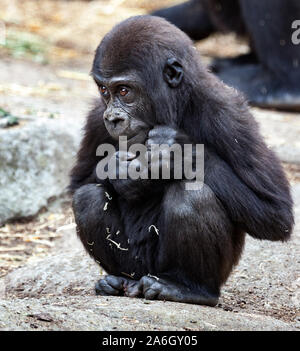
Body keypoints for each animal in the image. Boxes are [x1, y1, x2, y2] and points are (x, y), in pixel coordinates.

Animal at [69, 15, 292, 306]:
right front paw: (116, 170)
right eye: (105, 91)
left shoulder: (228, 112)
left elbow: (276, 212)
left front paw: (179, 153)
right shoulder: (96, 117)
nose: (113, 118)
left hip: (167, 271)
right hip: (137, 267)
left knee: (191, 194)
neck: (175, 104)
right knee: (89, 198)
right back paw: (118, 281)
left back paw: (191, 288)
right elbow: (79, 183)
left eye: (125, 91)